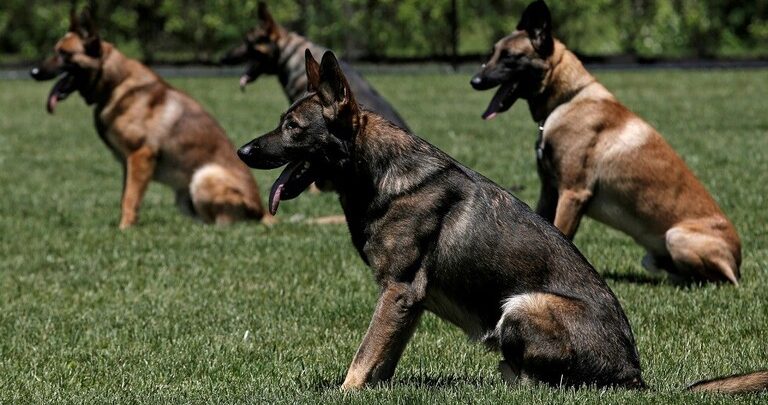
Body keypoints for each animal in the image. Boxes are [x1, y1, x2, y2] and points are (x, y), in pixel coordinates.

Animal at [30, 8, 270, 229]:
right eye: (55, 50)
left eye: (64, 53)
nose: (33, 72)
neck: (115, 83)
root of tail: (262, 211)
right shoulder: (128, 163)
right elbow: (126, 196)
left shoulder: (141, 155)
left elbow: (130, 198)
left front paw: (124, 230)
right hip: (184, 196)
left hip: (204, 176)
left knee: (225, 223)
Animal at [236, 50, 767, 393]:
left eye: (292, 128)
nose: (242, 151)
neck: (376, 170)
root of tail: (635, 375)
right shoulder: (408, 301)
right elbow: (381, 359)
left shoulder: (399, 290)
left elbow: (363, 356)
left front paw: (346, 393)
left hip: (521, 306)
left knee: (542, 384)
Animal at [471, 0, 741, 285]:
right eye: (492, 53)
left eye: (509, 57)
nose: (474, 81)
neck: (568, 98)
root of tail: (738, 262)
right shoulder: (549, 191)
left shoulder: (573, 193)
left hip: (676, 236)